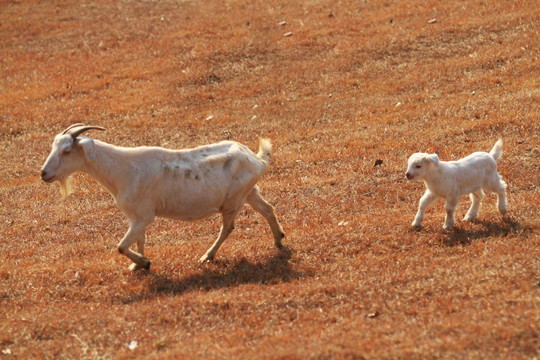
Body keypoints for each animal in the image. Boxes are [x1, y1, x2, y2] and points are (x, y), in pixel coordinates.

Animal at [41, 124, 286, 270]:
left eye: (67, 151)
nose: (44, 173)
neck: (123, 169)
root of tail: (256, 159)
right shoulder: (136, 217)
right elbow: (139, 240)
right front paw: (137, 266)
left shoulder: (144, 215)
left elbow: (121, 246)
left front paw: (144, 262)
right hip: (249, 192)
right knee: (268, 209)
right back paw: (279, 240)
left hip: (233, 200)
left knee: (228, 227)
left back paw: (207, 256)